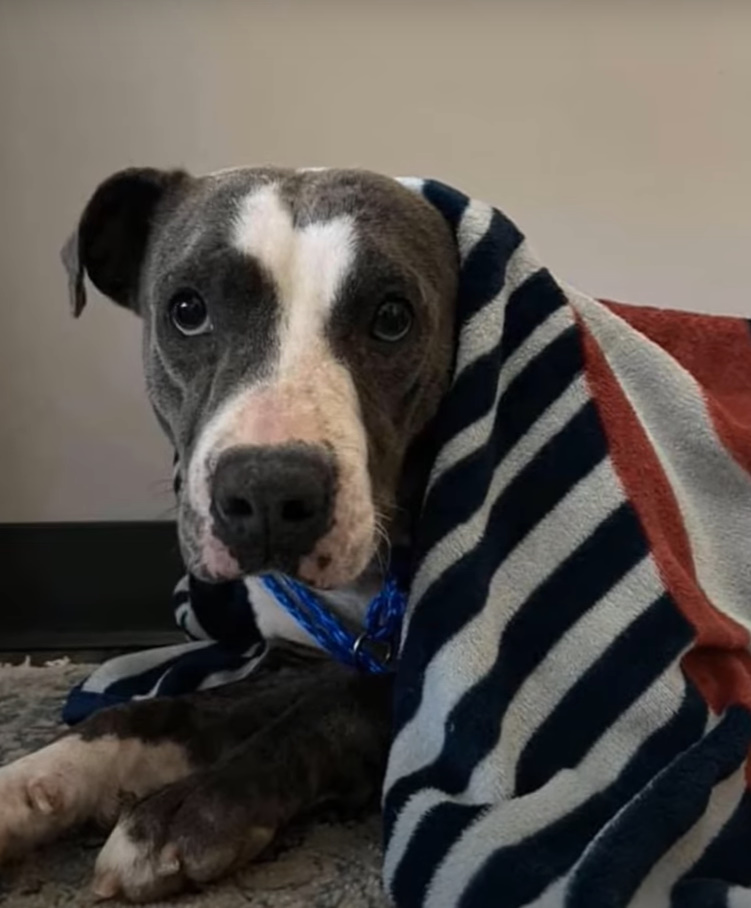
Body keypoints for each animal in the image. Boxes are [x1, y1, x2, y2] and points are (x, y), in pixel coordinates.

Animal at [0, 165, 458, 900]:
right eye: (187, 310)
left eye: (392, 318)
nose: (269, 489)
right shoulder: (307, 656)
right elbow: (167, 711)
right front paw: (33, 782)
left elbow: (322, 714)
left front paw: (190, 811)